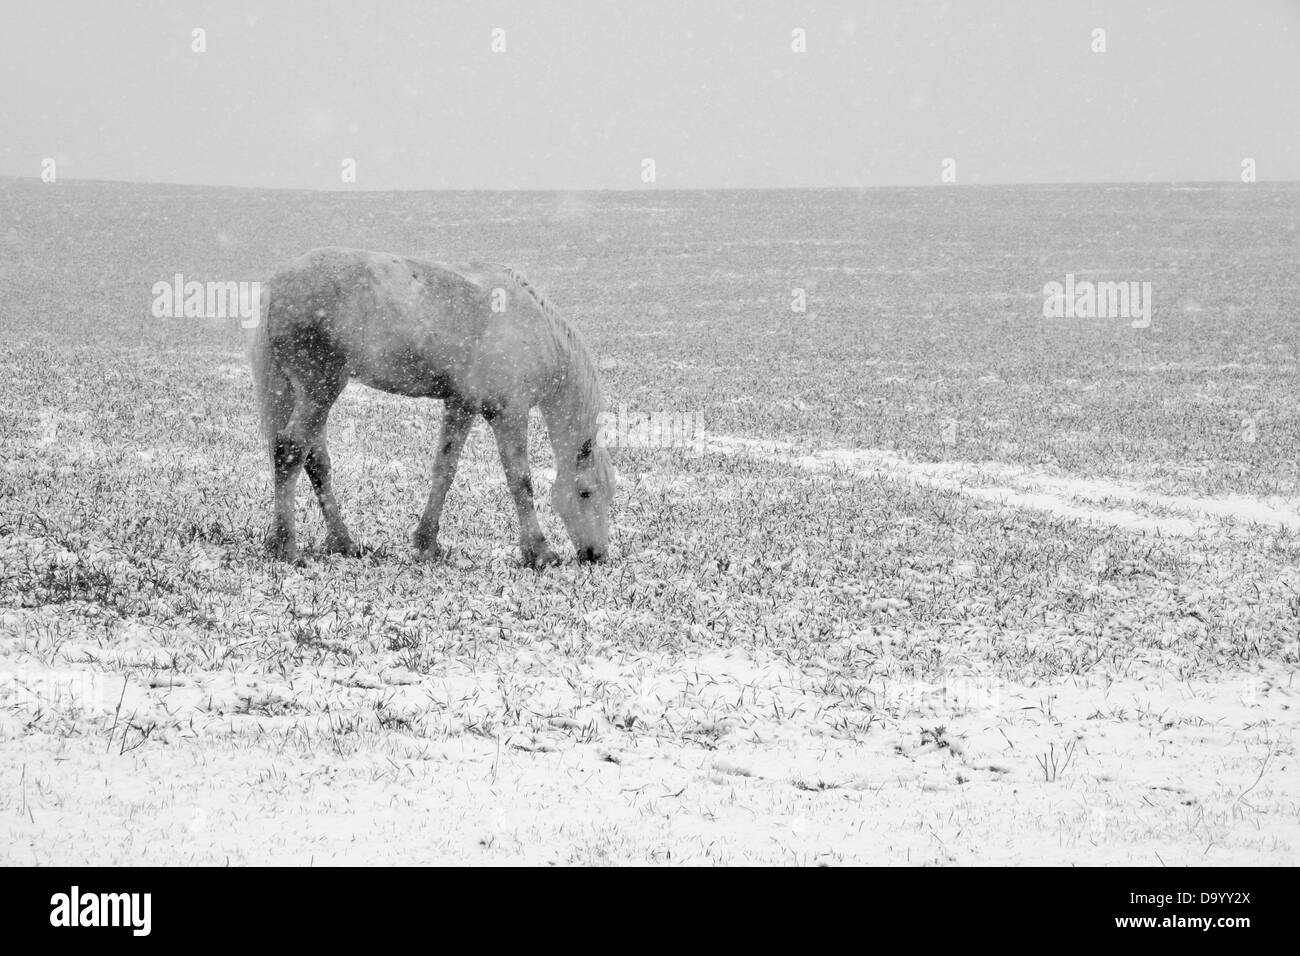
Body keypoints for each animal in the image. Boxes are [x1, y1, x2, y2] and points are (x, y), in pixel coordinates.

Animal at [248, 247, 614, 568]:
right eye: (585, 493)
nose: (596, 555)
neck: (534, 328)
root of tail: (278, 283)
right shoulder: (509, 413)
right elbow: (520, 481)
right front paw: (539, 552)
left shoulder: (461, 405)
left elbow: (444, 470)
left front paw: (427, 544)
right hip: (320, 388)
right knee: (291, 450)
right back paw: (287, 547)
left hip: (300, 392)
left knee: (316, 461)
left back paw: (343, 543)